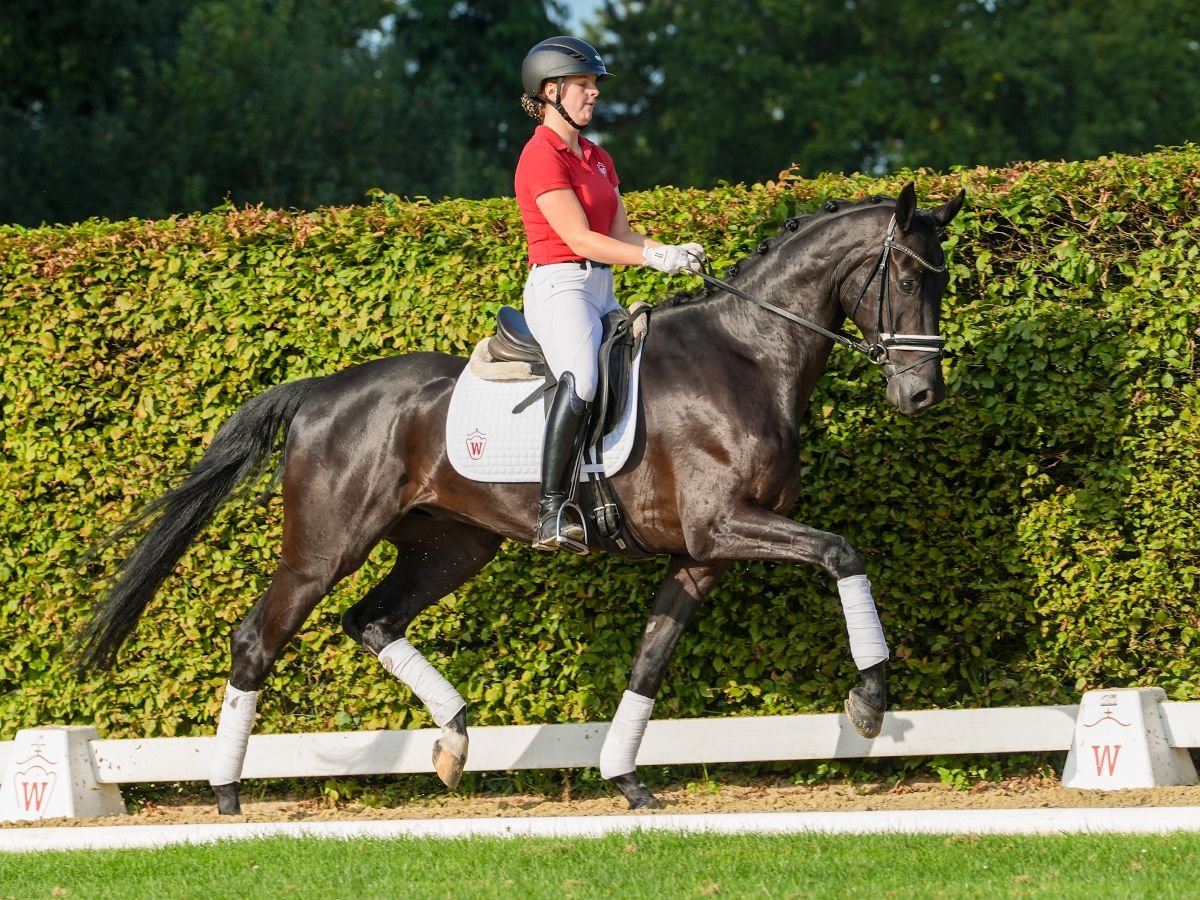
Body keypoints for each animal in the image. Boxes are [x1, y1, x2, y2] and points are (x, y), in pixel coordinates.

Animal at [72, 180, 964, 816]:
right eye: (906, 275)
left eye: (945, 280)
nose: (922, 396)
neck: (745, 356)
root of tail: (321, 390)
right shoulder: (726, 528)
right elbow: (843, 552)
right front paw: (870, 702)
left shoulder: (700, 554)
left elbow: (651, 656)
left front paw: (624, 778)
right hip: (325, 546)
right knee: (259, 638)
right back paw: (227, 792)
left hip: (453, 544)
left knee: (372, 620)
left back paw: (455, 741)